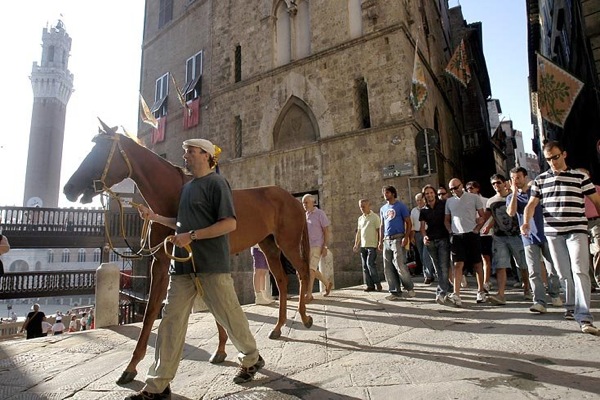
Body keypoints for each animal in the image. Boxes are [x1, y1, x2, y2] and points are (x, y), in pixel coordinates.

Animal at [62, 122, 314, 384]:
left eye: (100, 151)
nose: (69, 188)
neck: (173, 195)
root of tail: (293, 199)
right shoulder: (164, 262)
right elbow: (156, 310)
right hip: (269, 245)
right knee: (282, 279)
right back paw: (278, 327)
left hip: (288, 243)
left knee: (303, 272)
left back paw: (305, 317)